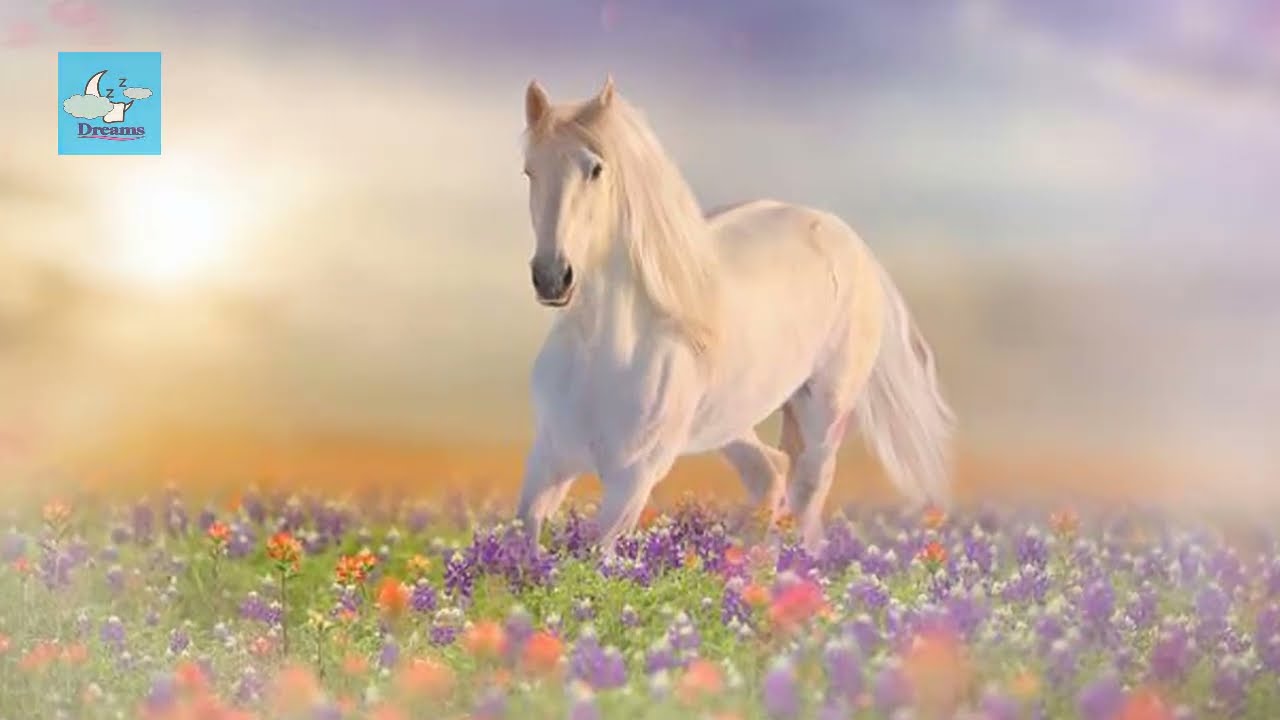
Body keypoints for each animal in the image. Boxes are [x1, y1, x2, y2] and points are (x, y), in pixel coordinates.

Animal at [514, 75, 955, 554]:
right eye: (529, 171)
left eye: (595, 169)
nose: (552, 277)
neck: (602, 353)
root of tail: (848, 238)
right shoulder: (549, 459)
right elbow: (524, 544)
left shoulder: (631, 482)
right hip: (730, 420)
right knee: (771, 473)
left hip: (824, 410)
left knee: (806, 492)